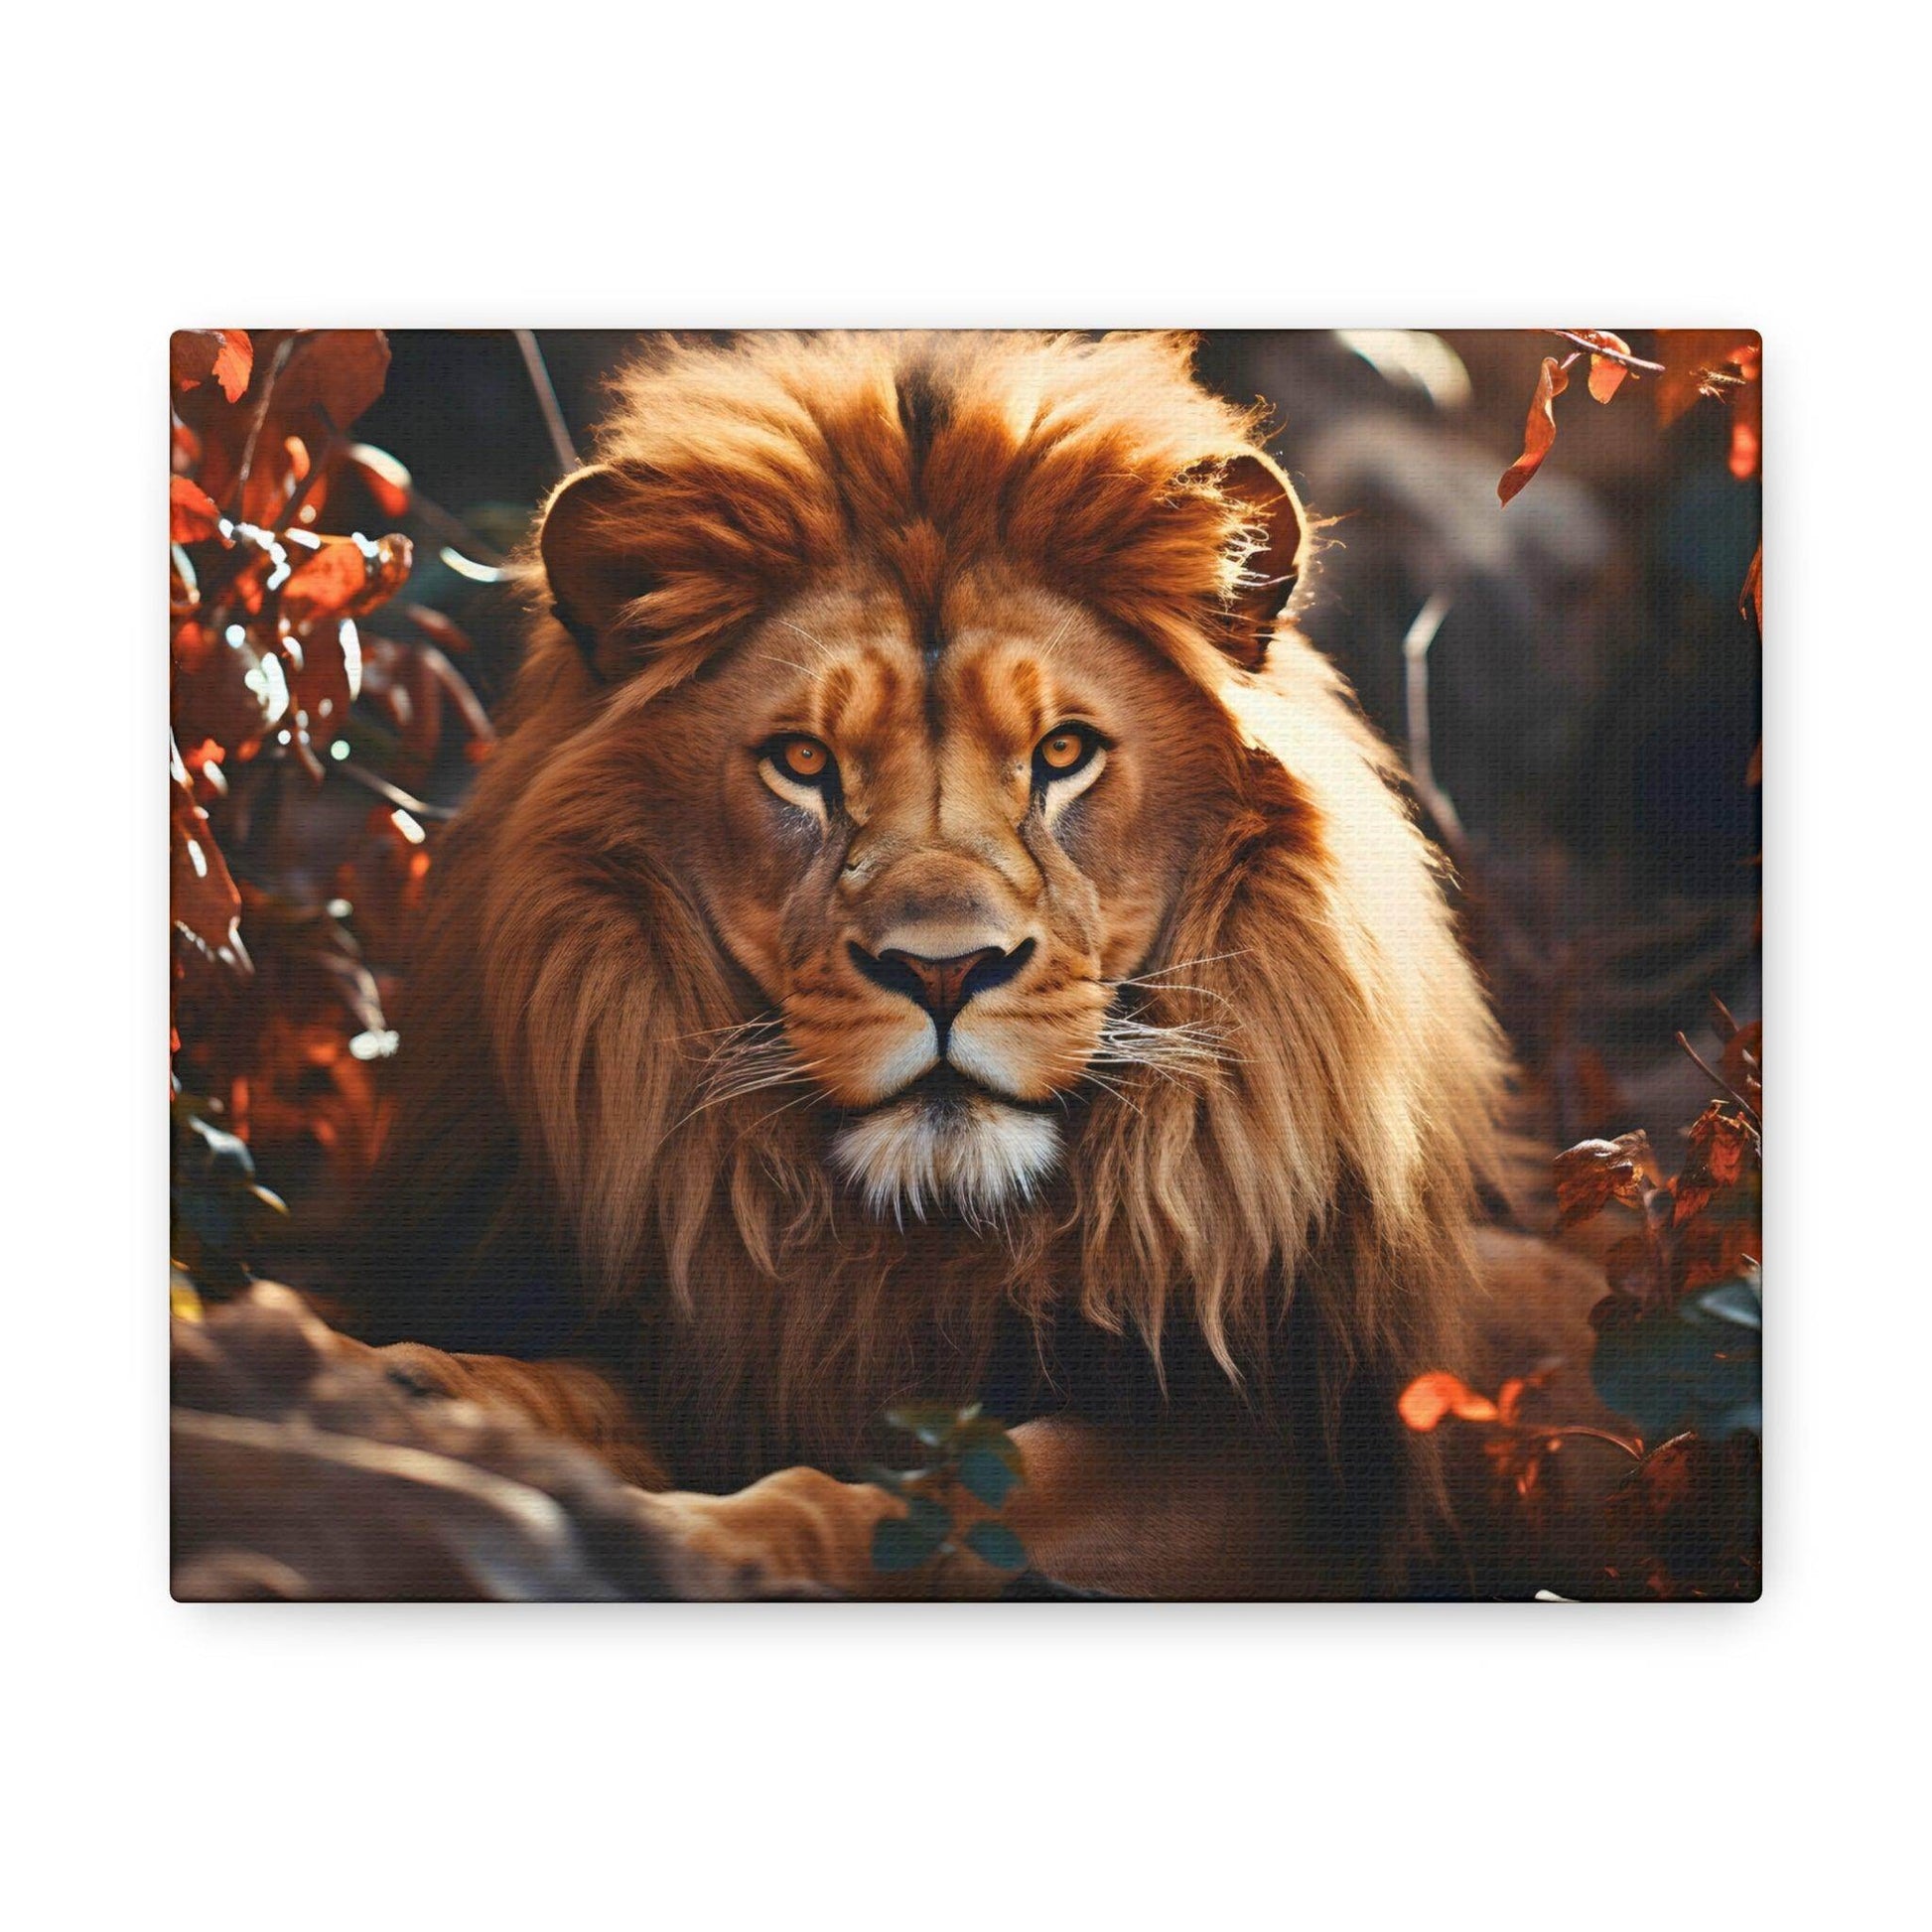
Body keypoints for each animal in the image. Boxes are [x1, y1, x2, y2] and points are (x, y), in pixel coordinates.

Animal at [345, 329, 1543, 1597]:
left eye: (1061, 753)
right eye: (801, 762)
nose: (941, 973)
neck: (925, 1237)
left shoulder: (1281, 1466)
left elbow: (949, 1499)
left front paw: (707, 1541)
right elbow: (560, 1384)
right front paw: (393, 1385)